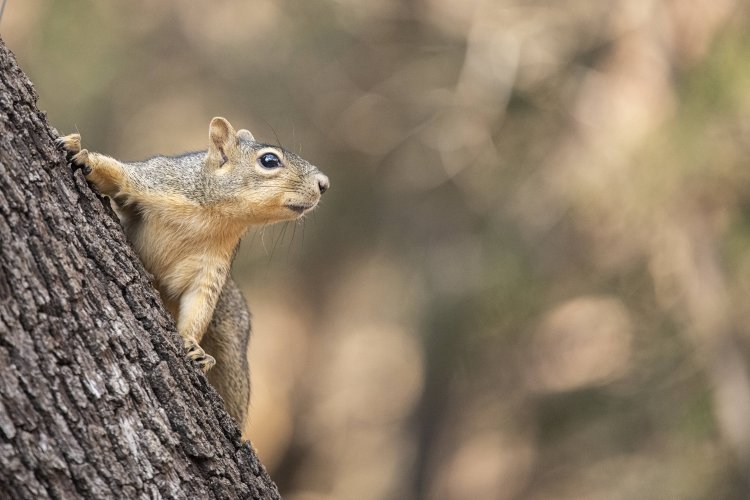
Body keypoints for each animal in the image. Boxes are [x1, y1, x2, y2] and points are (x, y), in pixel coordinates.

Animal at [57, 117, 330, 434]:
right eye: (269, 160)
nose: (324, 184)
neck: (215, 217)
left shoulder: (212, 268)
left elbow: (199, 304)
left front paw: (192, 345)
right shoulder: (158, 180)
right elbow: (117, 177)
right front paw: (81, 153)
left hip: (230, 346)